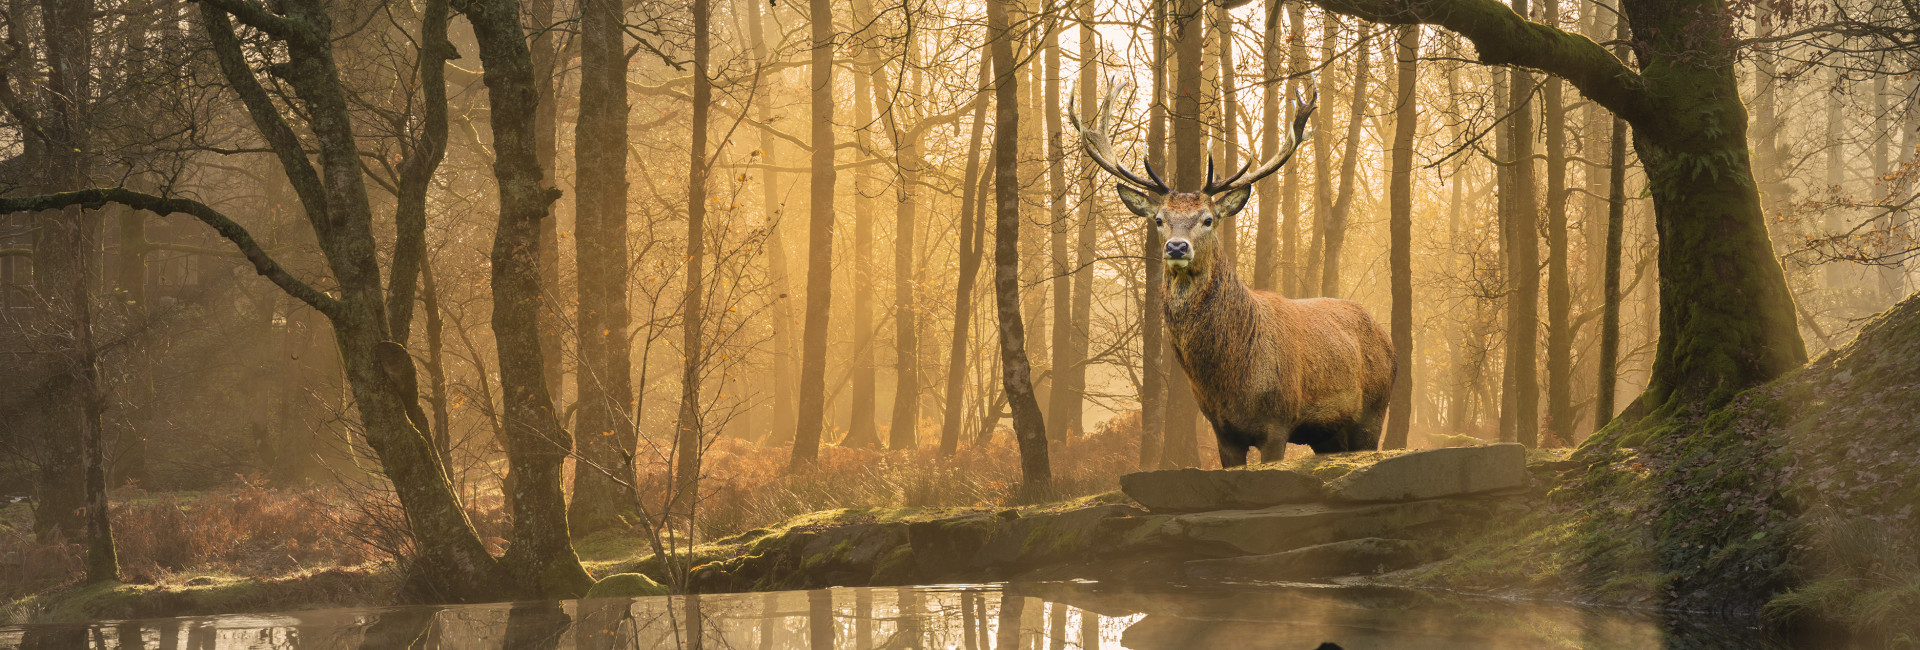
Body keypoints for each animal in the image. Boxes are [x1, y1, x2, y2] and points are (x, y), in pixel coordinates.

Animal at [1070, 80, 1395, 467]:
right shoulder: (1222, 430)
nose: (1176, 247)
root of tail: (1386, 338)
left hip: (1373, 411)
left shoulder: (1278, 421)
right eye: (1160, 219)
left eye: (1208, 219)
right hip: (1328, 434)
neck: (1232, 379)